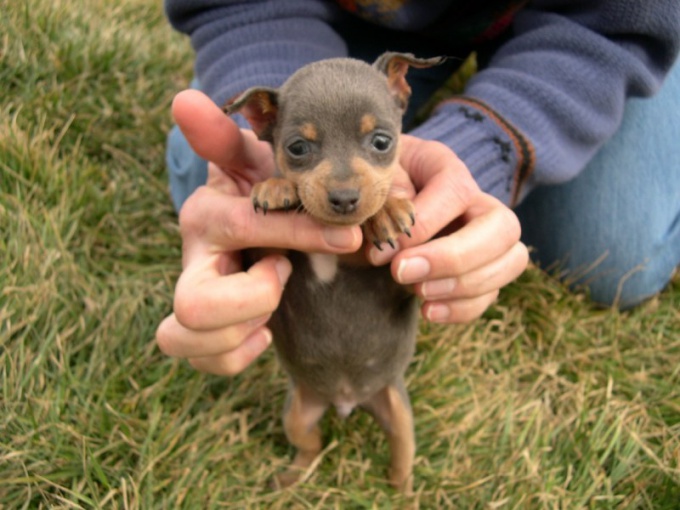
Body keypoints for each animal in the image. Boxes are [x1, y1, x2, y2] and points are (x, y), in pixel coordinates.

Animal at [226, 50, 444, 490]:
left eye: (382, 142)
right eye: (297, 148)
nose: (344, 198)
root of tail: (346, 402)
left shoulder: (401, 273)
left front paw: (387, 211)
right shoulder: (268, 253)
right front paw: (277, 187)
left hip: (399, 414)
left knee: (402, 461)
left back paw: (405, 493)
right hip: (297, 414)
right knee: (309, 446)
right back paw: (290, 480)